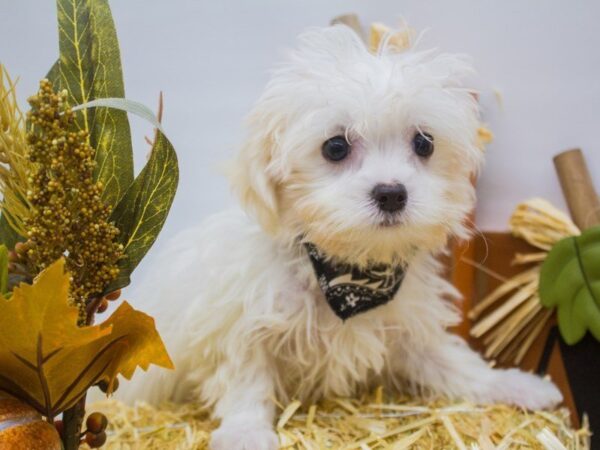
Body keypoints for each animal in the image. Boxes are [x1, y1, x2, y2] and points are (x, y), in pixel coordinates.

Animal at [122, 25, 564, 450]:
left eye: (424, 143)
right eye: (335, 147)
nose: (391, 193)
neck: (346, 273)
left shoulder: (410, 330)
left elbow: (455, 364)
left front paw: (513, 384)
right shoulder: (240, 324)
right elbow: (247, 380)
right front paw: (245, 434)